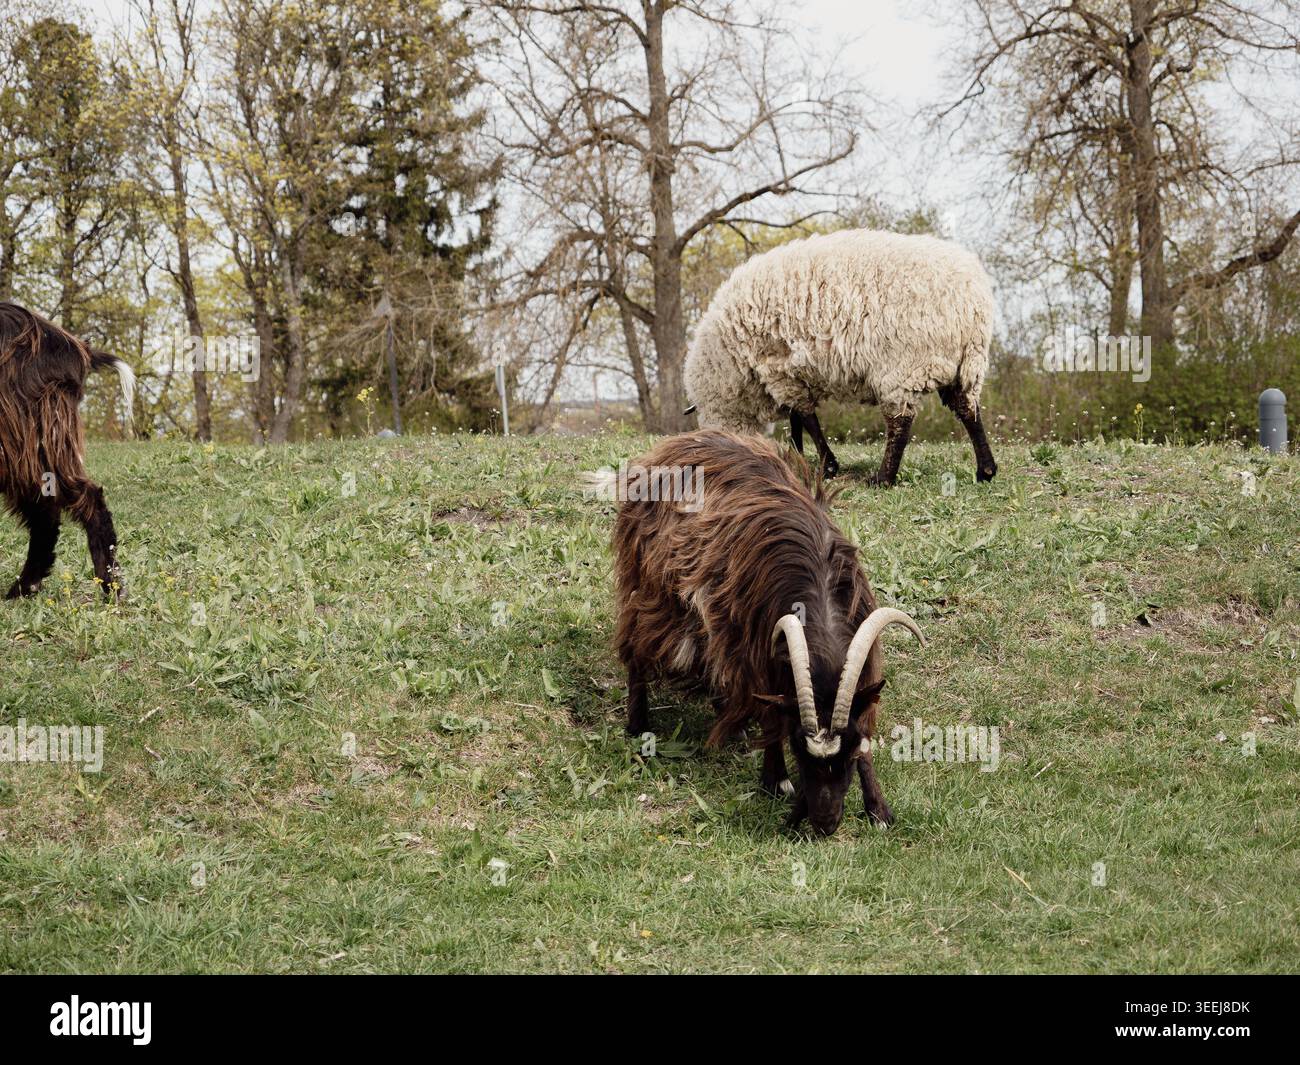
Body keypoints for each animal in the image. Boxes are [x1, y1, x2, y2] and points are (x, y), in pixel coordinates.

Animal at [1, 301, 133, 600]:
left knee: (81, 501)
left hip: (27, 440)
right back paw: (26, 587)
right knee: (46, 513)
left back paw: (109, 588)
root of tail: (76, 347)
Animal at [607, 429, 924, 835]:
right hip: (652, 589)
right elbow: (772, 715)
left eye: (849, 752)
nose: (824, 823)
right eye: (799, 748)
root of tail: (677, 442)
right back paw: (638, 725)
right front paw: (778, 781)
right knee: (636, 646)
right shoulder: (760, 646)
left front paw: (878, 810)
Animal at [684, 228, 998, 486]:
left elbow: (806, 417)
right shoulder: (792, 374)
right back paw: (985, 470)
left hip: (904, 366)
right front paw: (799, 456)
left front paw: (827, 465)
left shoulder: (777, 370)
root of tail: (972, 300)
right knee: (968, 410)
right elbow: (798, 419)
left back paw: (883, 478)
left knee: (900, 423)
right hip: (961, 364)